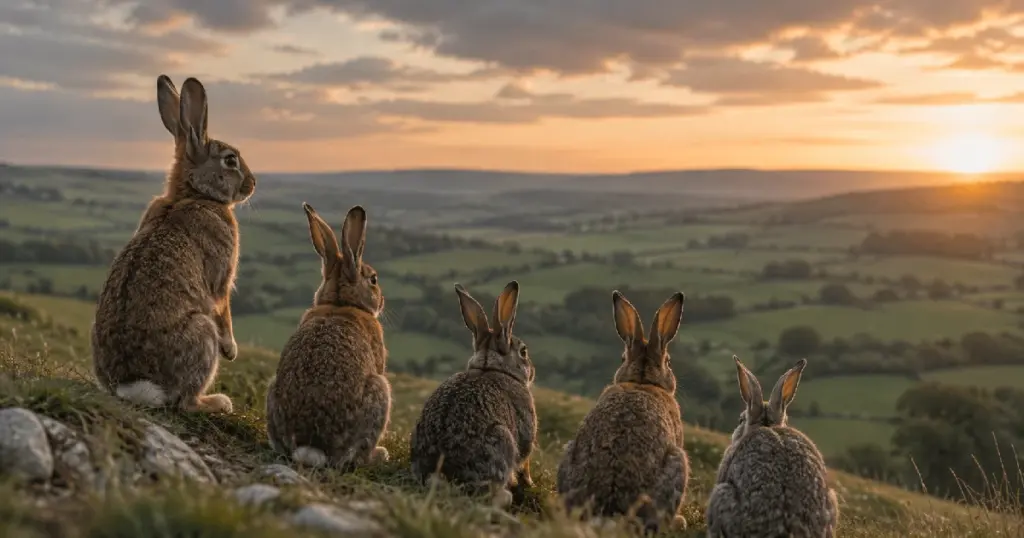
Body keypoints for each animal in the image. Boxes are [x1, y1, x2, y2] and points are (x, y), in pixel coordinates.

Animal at [92, 75, 256, 414]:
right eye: (230, 160)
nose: (252, 184)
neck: (193, 193)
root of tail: (133, 383)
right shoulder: (221, 279)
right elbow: (224, 306)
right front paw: (232, 350)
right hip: (203, 334)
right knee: (185, 401)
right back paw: (219, 403)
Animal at [265, 202, 391, 470]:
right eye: (373, 279)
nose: (382, 300)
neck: (341, 302)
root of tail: (313, 445)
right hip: (380, 392)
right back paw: (380, 455)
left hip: (271, 391)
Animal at [410, 281, 536, 509]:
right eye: (523, 352)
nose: (533, 372)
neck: (490, 366)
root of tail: (443, 472)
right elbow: (525, 461)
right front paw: (530, 483)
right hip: (501, 440)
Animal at [557, 290, 688, 535]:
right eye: (669, 362)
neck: (642, 380)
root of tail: (609, 510)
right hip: (678, 464)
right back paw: (678, 522)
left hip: (568, 453)